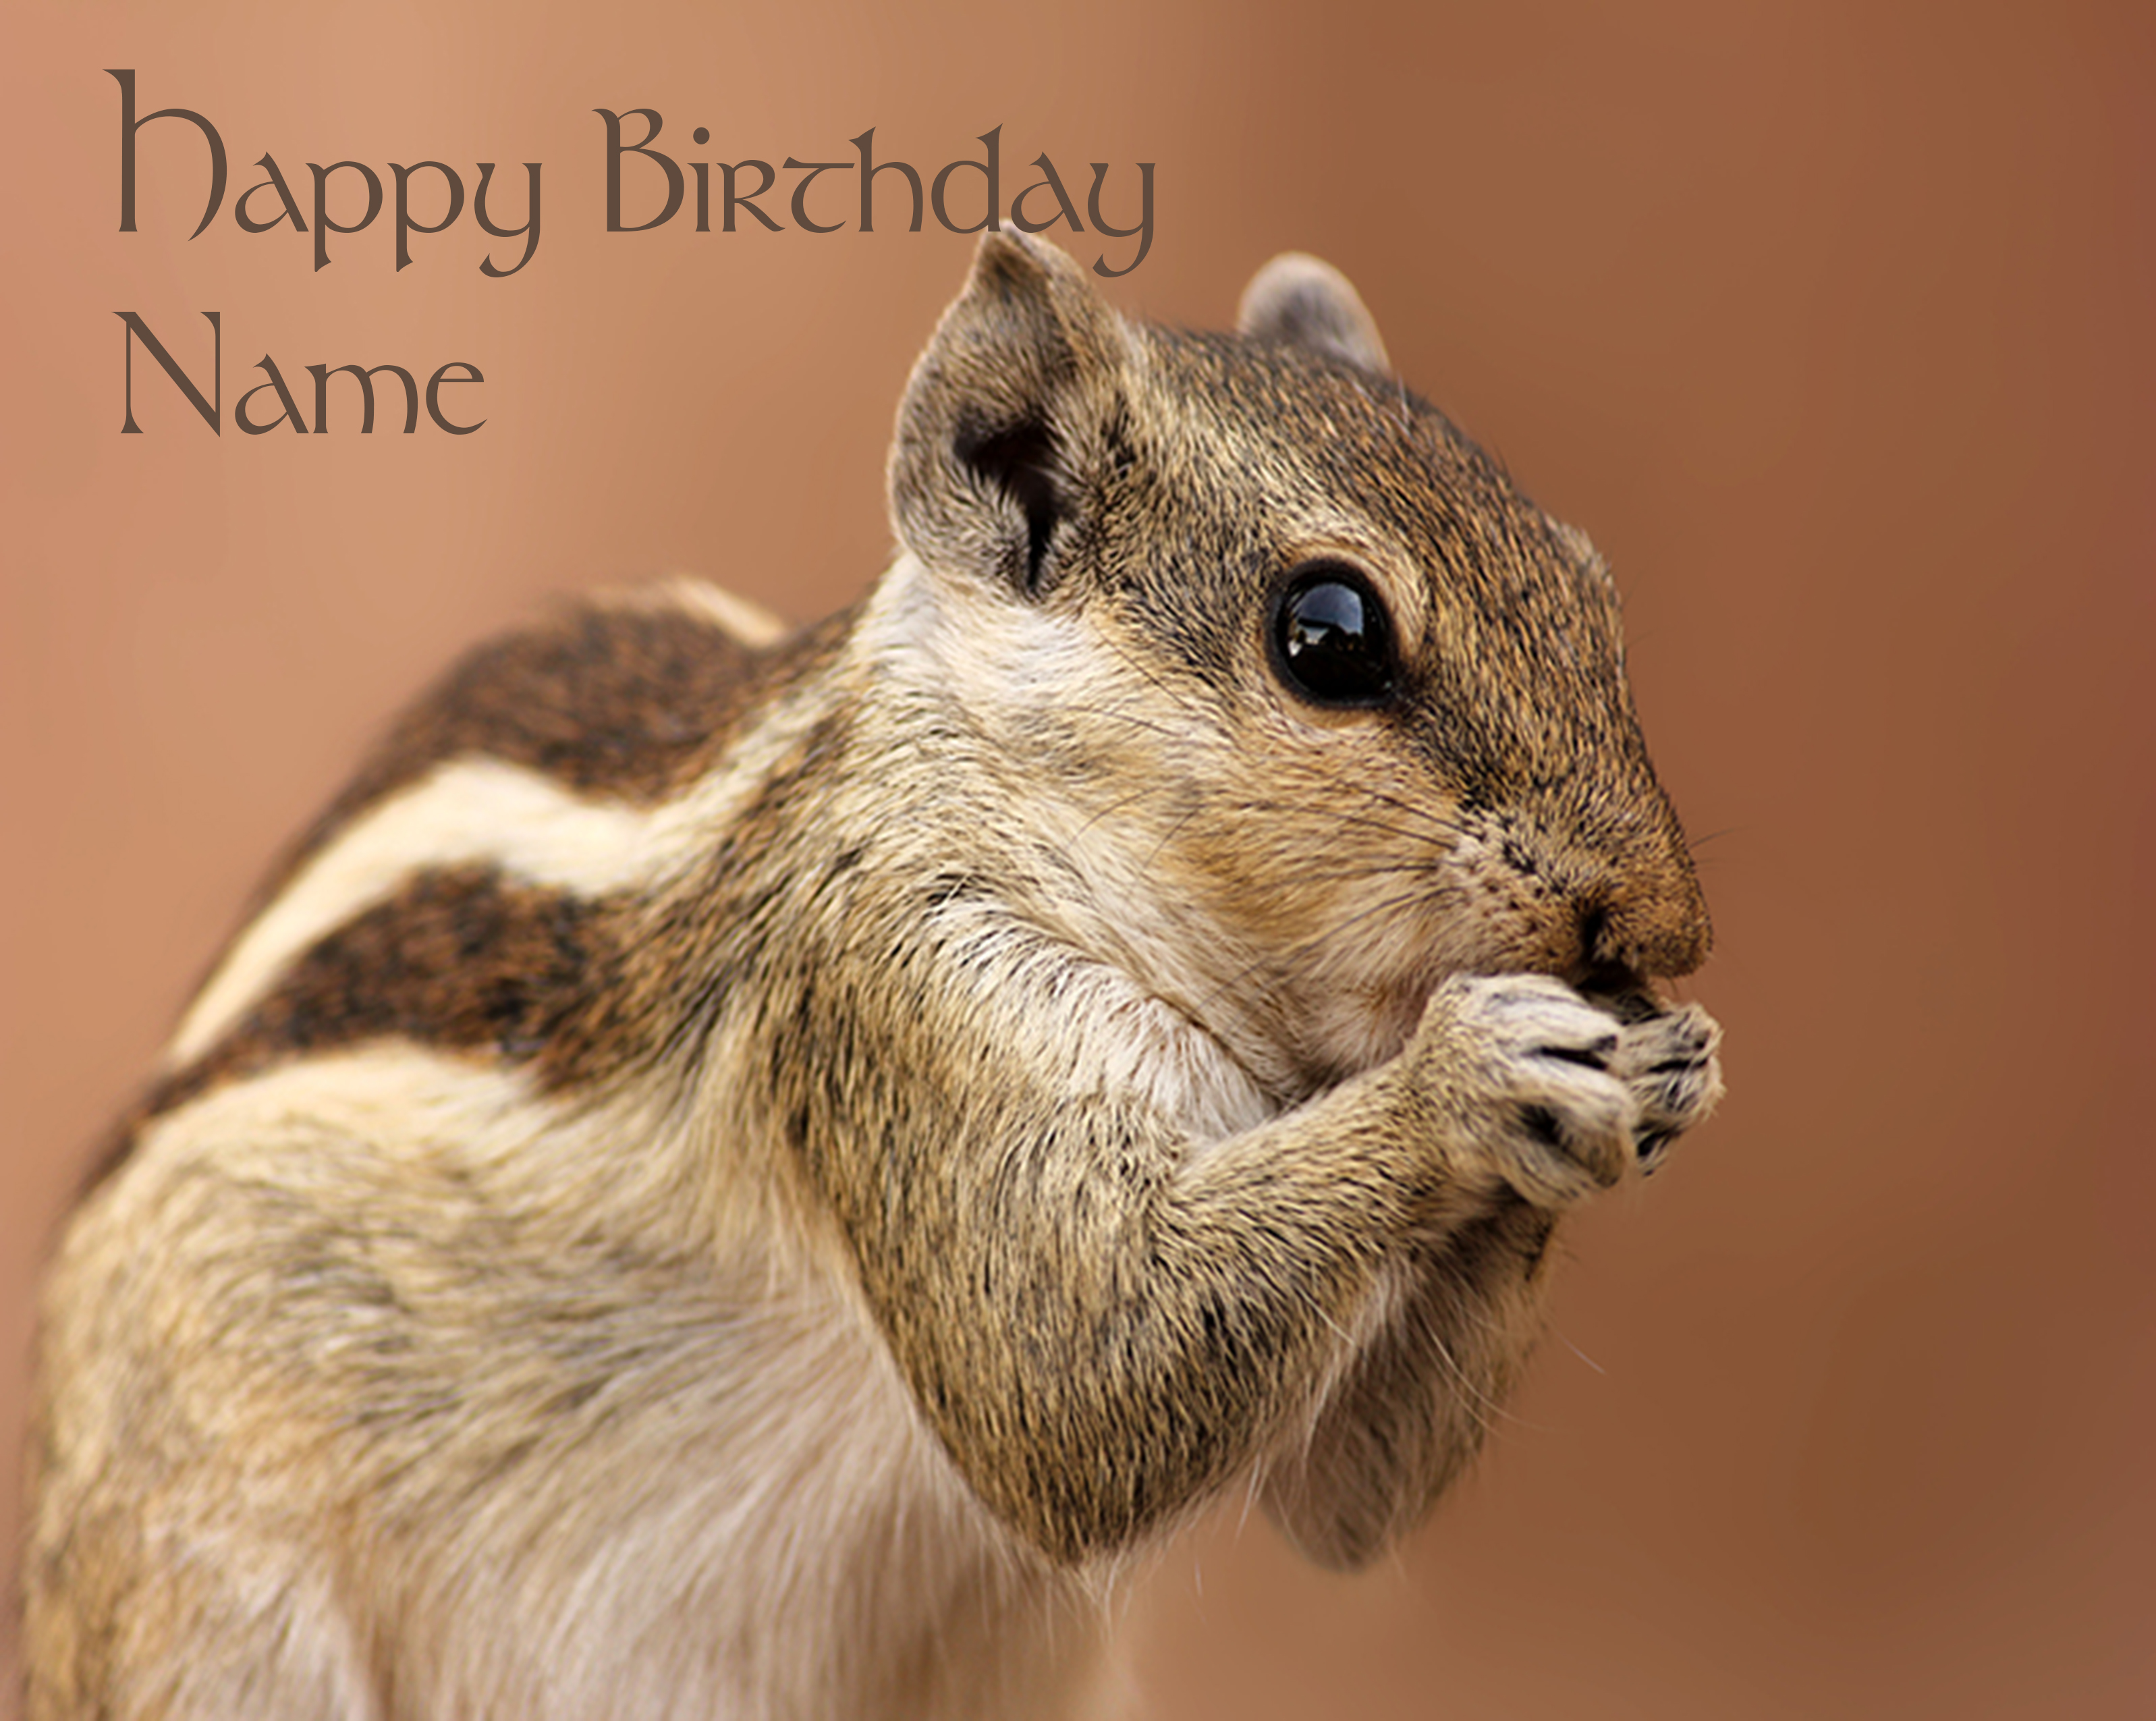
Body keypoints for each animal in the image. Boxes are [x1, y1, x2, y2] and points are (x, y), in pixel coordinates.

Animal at [23, 232, 1722, 1721]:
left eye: (1591, 588)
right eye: (1328, 634)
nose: (1658, 930)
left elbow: (1335, 1503)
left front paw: (1662, 1064)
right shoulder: (896, 1001)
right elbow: (1077, 1382)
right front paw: (1469, 1074)